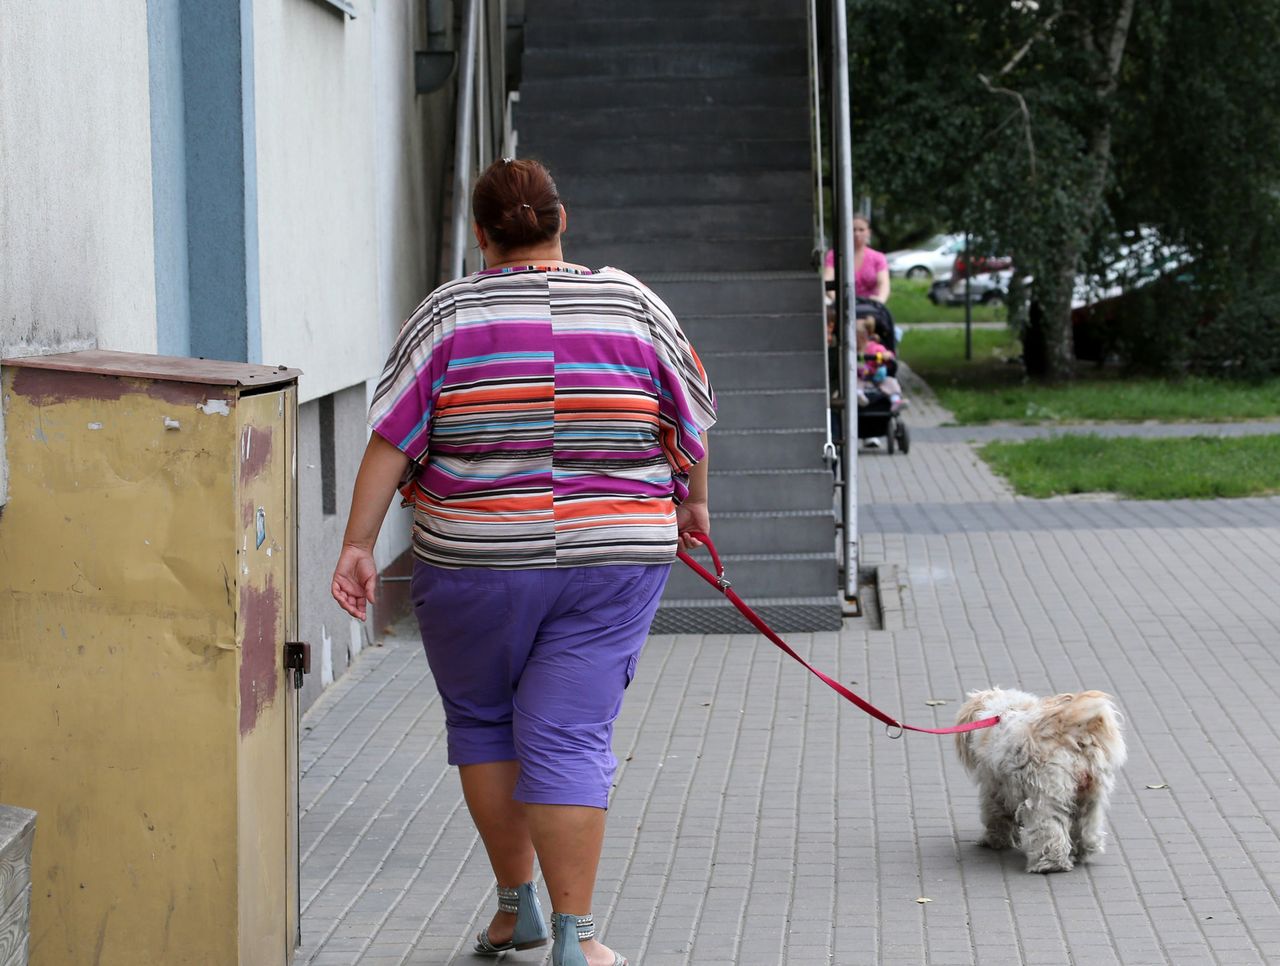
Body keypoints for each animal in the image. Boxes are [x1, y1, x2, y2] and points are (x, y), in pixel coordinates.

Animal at [957, 685, 1126, 875]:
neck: (1005, 709)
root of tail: (1075, 737)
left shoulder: (995, 786)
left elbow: (996, 814)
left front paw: (995, 840)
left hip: (1046, 797)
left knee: (1050, 830)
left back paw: (1050, 863)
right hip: (1091, 795)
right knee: (1088, 827)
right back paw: (1082, 850)